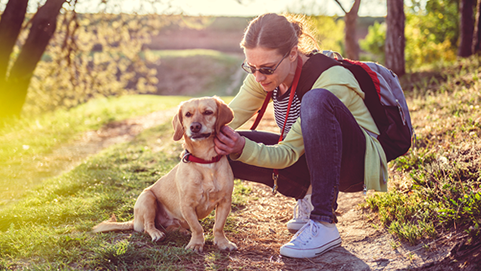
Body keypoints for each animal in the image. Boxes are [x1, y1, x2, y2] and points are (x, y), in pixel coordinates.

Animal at [92, 96, 236, 253]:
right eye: (188, 114)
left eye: (208, 112)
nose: (194, 127)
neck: (205, 161)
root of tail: (134, 221)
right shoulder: (187, 205)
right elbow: (197, 227)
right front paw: (196, 243)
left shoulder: (224, 202)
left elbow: (218, 226)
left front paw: (222, 242)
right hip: (148, 198)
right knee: (148, 226)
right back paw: (157, 234)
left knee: (173, 227)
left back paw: (181, 231)